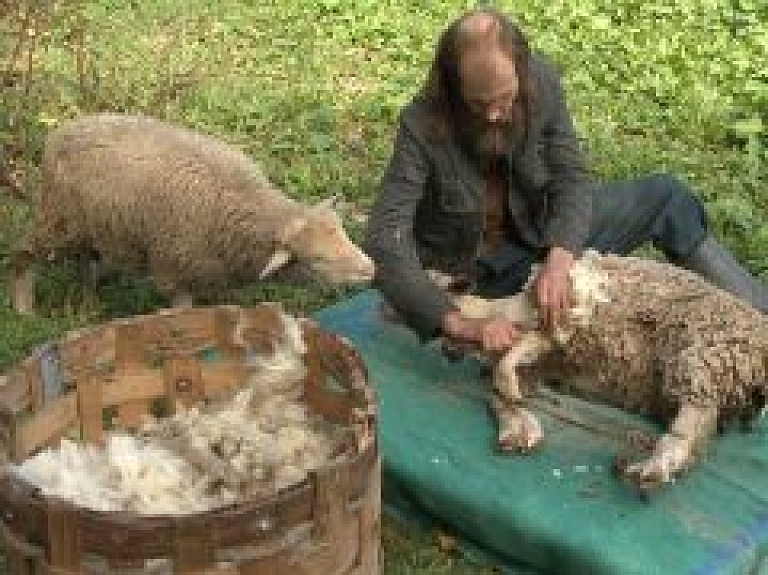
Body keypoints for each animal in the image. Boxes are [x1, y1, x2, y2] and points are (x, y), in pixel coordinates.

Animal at [8, 112, 376, 310]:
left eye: (344, 235)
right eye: (318, 260)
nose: (371, 269)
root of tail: (61, 130)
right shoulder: (173, 272)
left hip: (94, 224)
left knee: (86, 258)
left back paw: (89, 297)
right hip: (58, 217)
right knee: (23, 253)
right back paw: (24, 308)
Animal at [456, 252, 768, 490]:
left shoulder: (565, 314)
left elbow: (514, 359)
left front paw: (512, 399)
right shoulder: (540, 363)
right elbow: (499, 394)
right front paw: (519, 428)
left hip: (707, 353)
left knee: (692, 421)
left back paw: (654, 466)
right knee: (702, 430)